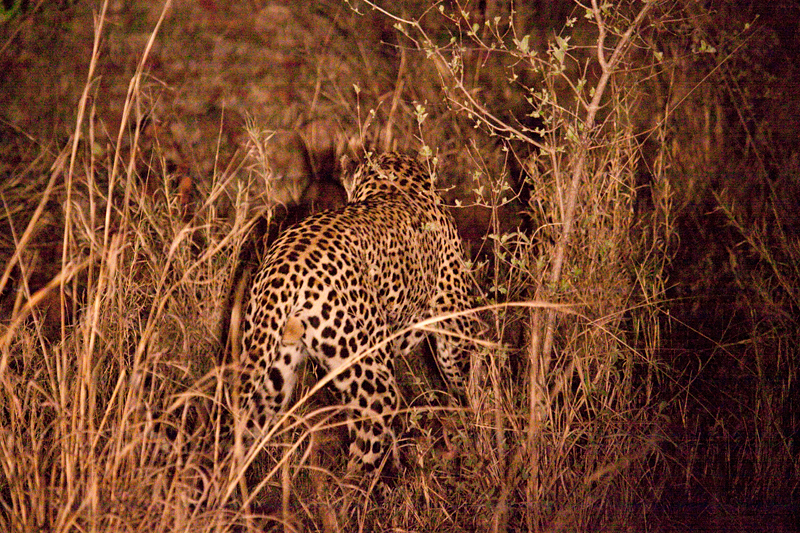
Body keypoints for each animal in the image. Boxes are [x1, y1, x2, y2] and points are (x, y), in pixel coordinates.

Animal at [234, 150, 478, 474]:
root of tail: (285, 268)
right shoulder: (454, 314)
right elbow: (463, 373)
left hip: (271, 369)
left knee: (249, 427)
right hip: (372, 380)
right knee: (363, 451)